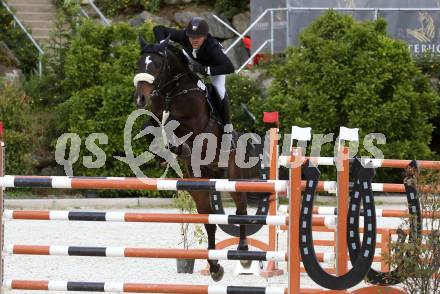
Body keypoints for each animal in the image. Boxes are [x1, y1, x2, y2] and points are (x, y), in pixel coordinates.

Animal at [132, 34, 256, 280]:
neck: (172, 92)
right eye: (140, 63)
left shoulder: (194, 123)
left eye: (157, 64)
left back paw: (244, 255)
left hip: (234, 180)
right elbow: (150, 125)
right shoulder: (156, 114)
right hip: (198, 186)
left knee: (241, 211)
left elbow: (172, 121)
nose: (140, 98)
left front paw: (173, 145)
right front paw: (164, 152)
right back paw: (215, 267)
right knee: (209, 222)